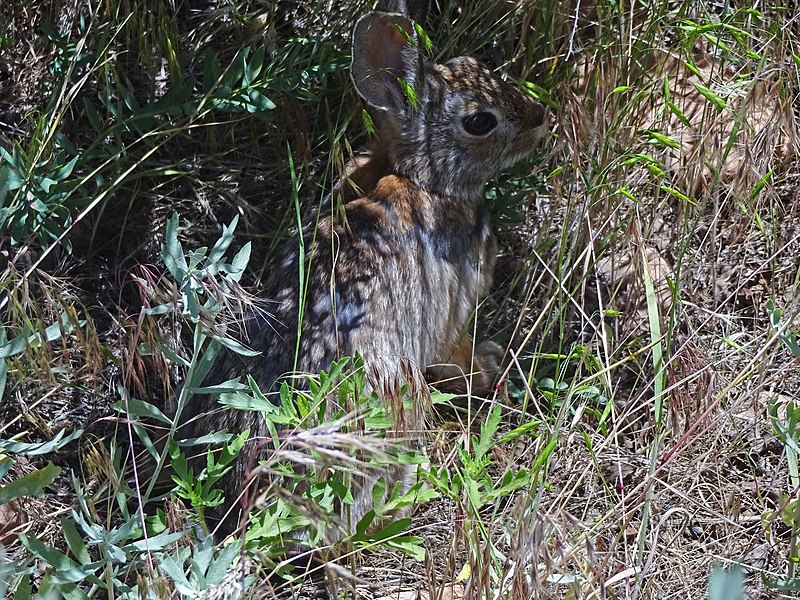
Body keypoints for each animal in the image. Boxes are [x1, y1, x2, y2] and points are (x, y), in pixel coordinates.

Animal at [178, 9, 548, 544]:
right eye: (480, 121)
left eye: (473, 64)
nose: (540, 119)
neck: (423, 177)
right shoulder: (453, 314)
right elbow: (457, 358)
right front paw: (489, 364)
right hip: (401, 398)